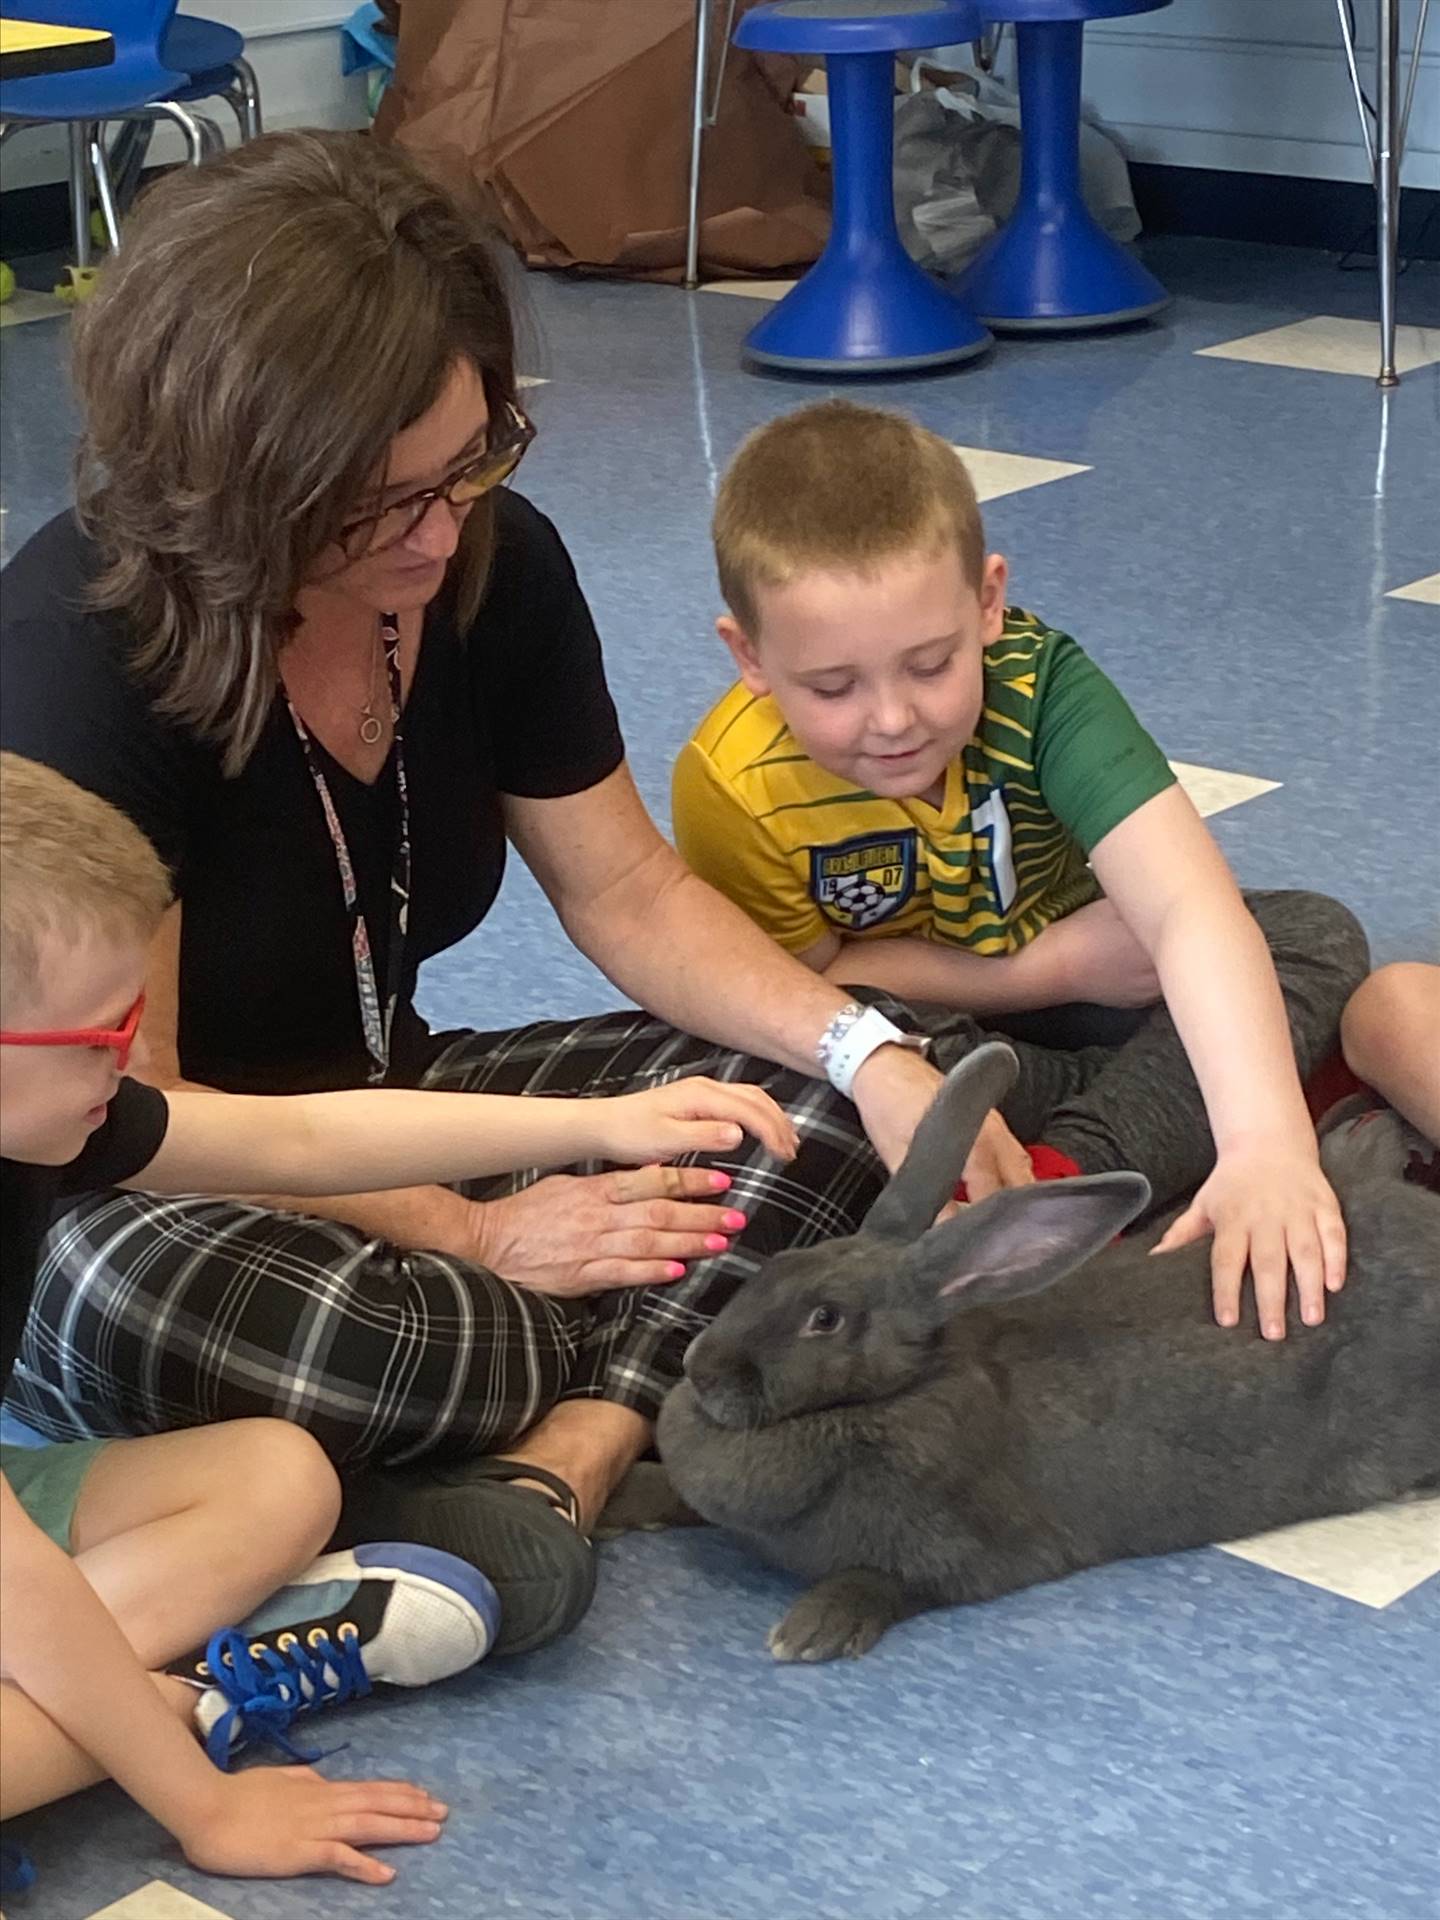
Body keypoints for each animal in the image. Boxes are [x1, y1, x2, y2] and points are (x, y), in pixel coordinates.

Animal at [664, 1044, 1440, 1658]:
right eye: (775, 1268)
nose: (700, 1370)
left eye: (824, 1319)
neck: (902, 1391)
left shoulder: (976, 1554)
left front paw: (810, 1631)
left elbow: (890, 1582)